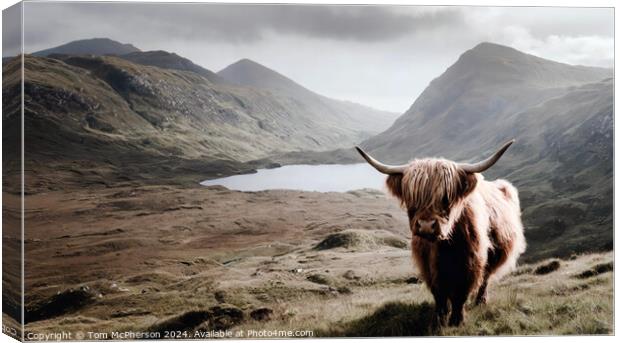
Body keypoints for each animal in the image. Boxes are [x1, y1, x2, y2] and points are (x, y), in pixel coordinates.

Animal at [356, 140, 524, 328]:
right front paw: (440, 320)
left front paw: (457, 321)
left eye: (446, 197)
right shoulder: (429, 267)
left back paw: (481, 302)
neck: (446, 247)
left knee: (485, 280)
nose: (426, 226)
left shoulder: (470, 263)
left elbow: (461, 294)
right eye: (412, 198)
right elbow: (440, 294)